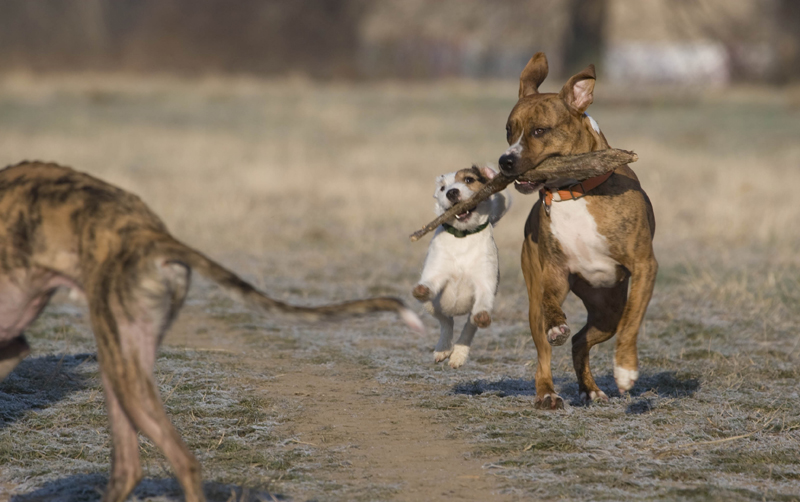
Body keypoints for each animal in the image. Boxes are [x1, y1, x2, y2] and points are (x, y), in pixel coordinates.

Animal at [0, 162, 424, 502]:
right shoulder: (14, 345)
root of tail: (151, 233)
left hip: (120, 363)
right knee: (130, 468)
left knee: (183, 462)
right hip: (120, 358)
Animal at [416, 167, 510, 366]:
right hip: (430, 305)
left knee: (469, 325)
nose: (452, 192)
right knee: (447, 321)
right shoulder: (436, 273)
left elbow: (481, 305)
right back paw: (443, 349)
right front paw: (422, 288)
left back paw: (458, 354)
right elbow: (430, 283)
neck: (463, 236)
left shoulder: (485, 282)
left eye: (469, 179)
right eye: (442, 188)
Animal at [500, 53, 656, 410]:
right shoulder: (553, 271)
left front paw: (625, 369)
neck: (574, 191)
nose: (505, 161)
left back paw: (590, 388)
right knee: (550, 346)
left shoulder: (644, 266)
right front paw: (557, 324)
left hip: (607, 310)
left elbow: (632, 320)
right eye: (508, 131)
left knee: (583, 338)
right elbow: (550, 303)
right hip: (537, 303)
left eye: (540, 130)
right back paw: (548, 392)